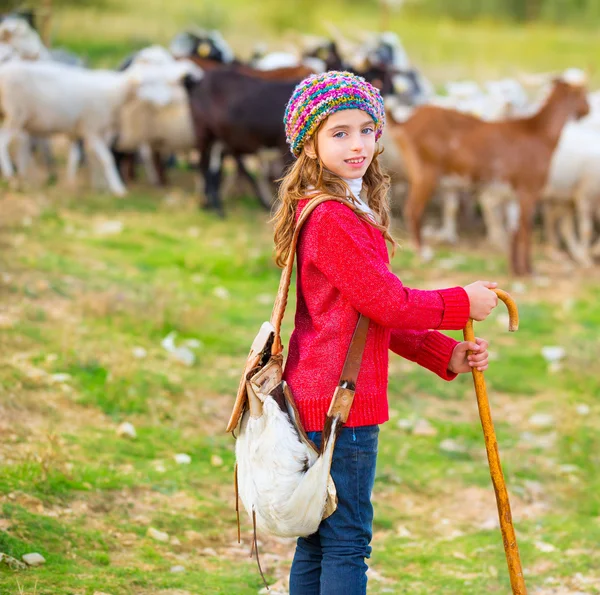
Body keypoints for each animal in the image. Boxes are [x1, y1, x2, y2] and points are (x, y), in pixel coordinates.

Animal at [394, 79, 592, 274]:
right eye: (582, 94)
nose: (587, 110)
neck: (538, 133)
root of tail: (406, 123)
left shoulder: (513, 194)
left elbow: (514, 230)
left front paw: (516, 269)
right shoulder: (528, 190)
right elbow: (526, 228)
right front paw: (529, 269)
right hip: (425, 172)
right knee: (413, 209)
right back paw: (423, 253)